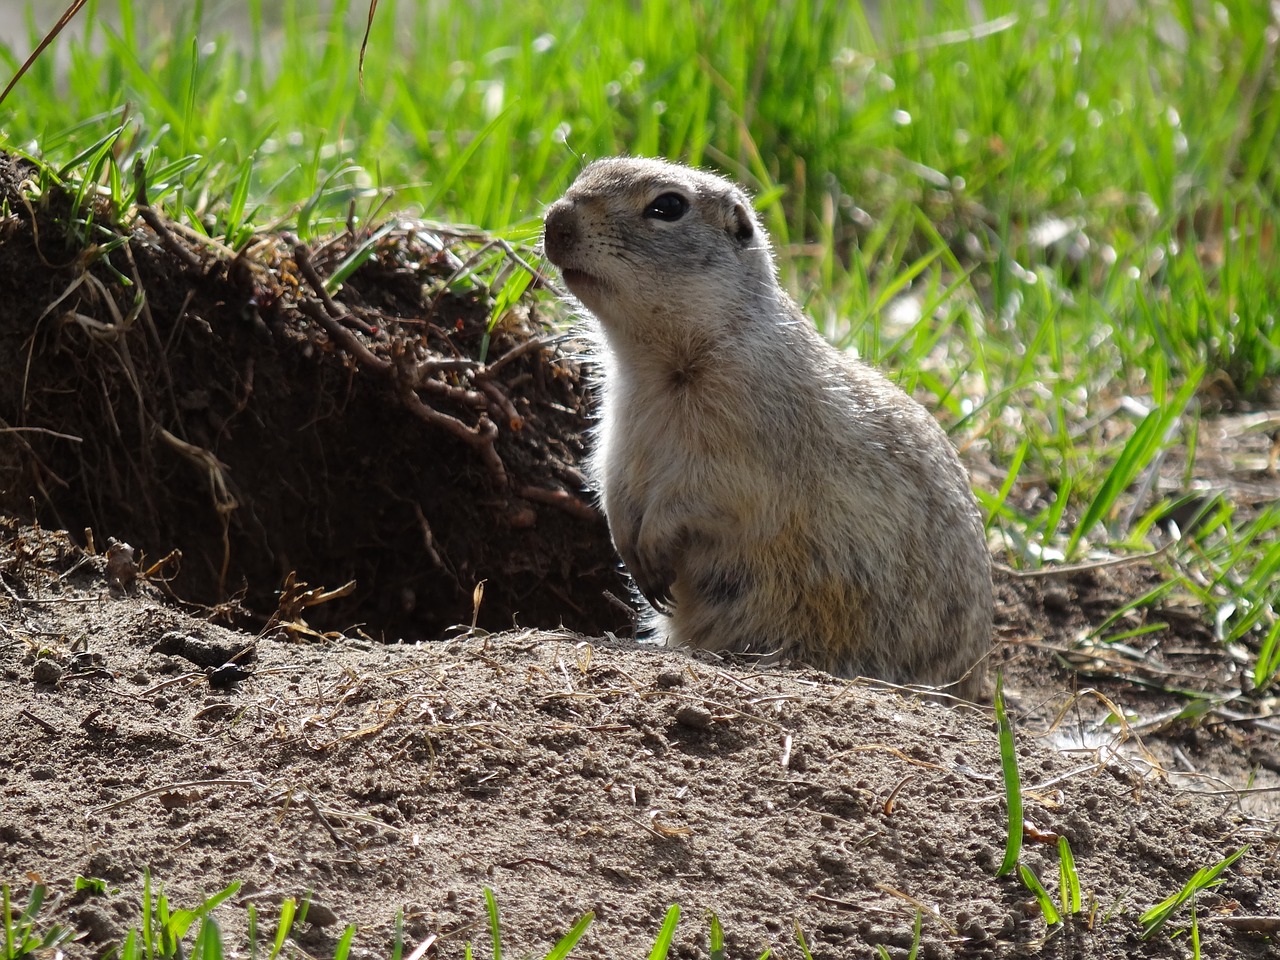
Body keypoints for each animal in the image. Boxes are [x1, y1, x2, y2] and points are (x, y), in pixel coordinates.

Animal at [540, 158, 988, 701]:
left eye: (667, 206)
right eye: (589, 169)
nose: (555, 222)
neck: (659, 366)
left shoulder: (747, 441)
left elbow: (705, 495)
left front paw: (653, 550)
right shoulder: (618, 427)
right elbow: (612, 484)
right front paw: (628, 548)